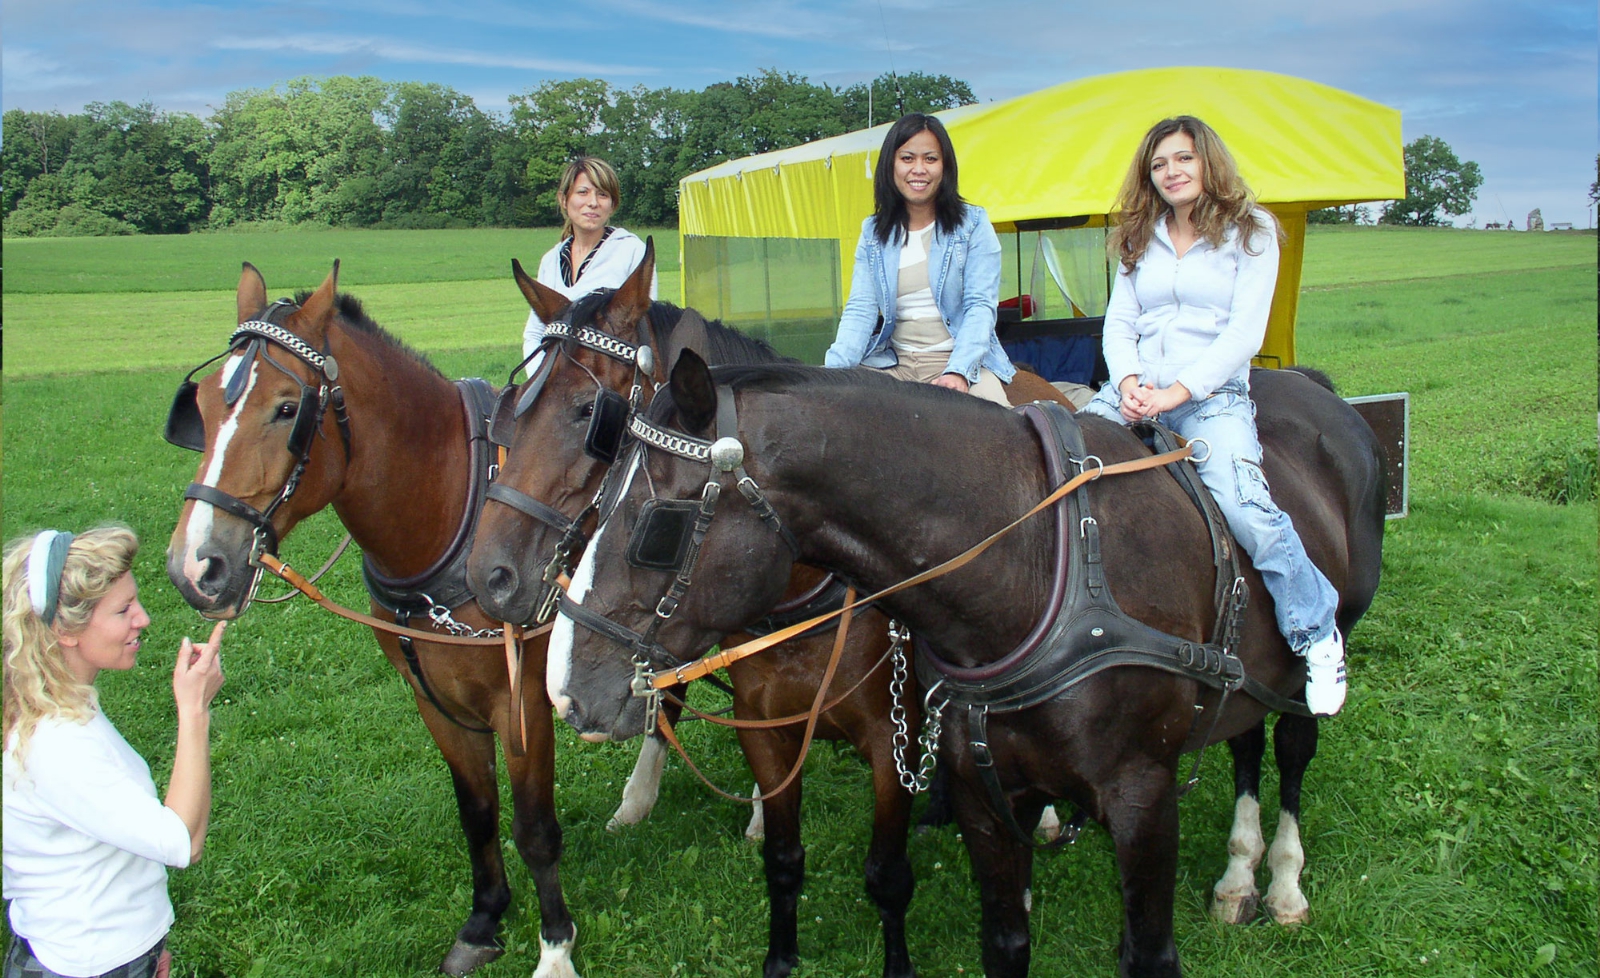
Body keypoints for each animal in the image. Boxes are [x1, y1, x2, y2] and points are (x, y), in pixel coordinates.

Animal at [165, 264, 582, 973]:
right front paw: (484, 919)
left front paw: (556, 941)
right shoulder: (434, 698)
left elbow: (533, 827)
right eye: (205, 407)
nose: (195, 566)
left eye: (287, 408)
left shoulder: (521, 698)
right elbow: (477, 811)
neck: (456, 509)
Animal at [544, 353, 1382, 978]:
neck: (1040, 563)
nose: (565, 690)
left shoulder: (1140, 795)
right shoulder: (981, 791)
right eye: (595, 501)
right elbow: (1002, 943)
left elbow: (1149, 954)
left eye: (657, 526)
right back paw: (1238, 871)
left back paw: (1277, 878)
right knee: (1242, 742)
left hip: (1316, 653)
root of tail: (1311, 386)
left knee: (1292, 747)